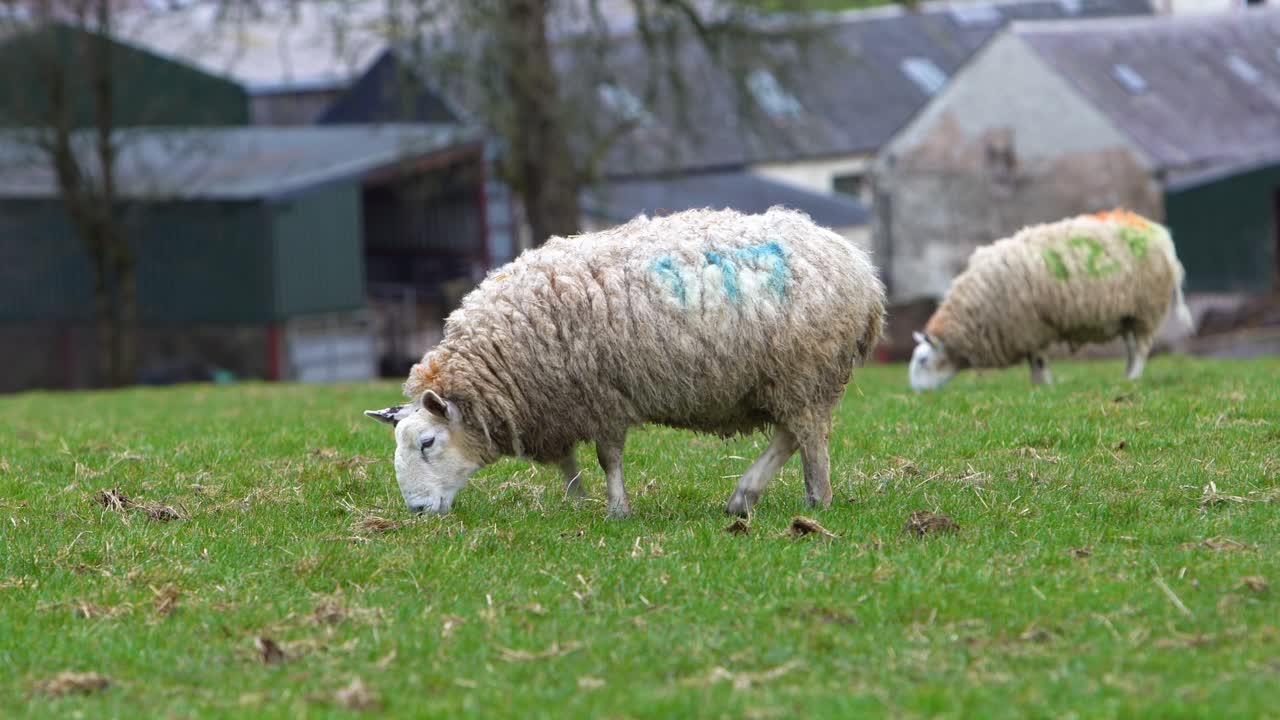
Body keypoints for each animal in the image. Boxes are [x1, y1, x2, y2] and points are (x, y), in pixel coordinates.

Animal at [364, 207, 886, 517]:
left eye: (428, 443)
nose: (417, 511)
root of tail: (860, 268)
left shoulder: (602, 394)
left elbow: (607, 456)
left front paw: (616, 509)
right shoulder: (565, 400)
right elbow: (571, 460)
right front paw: (577, 497)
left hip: (804, 368)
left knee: (807, 437)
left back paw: (813, 499)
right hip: (791, 378)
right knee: (791, 435)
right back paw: (748, 497)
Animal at [909, 209, 1192, 391]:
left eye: (922, 361)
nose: (915, 393)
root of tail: (1159, 233)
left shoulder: (1030, 328)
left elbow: (1038, 361)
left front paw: (1042, 385)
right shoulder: (1026, 331)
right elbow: (1034, 361)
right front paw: (1040, 384)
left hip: (1148, 308)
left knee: (1142, 349)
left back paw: (1132, 378)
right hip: (1129, 315)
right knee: (1132, 349)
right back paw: (1125, 376)